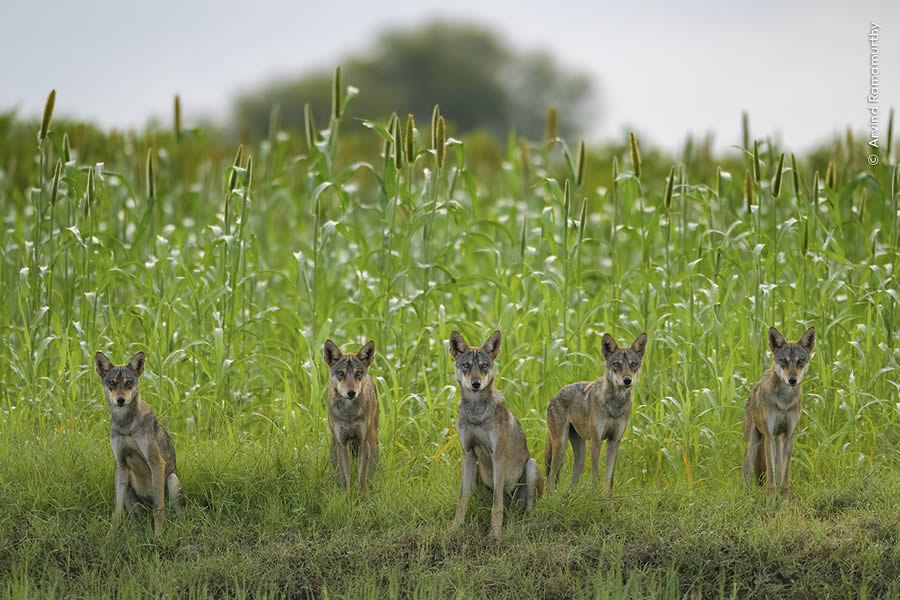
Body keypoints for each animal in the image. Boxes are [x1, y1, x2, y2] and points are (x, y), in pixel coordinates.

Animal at [95, 350, 183, 536]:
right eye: (112, 383)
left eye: (128, 383)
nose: (120, 400)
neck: (126, 425)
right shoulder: (121, 465)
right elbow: (116, 512)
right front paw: (110, 537)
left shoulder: (157, 463)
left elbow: (158, 508)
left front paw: (158, 536)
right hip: (126, 484)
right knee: (137, 518)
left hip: (172, 480)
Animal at [444, 330, 536, 540]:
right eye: (466, 365)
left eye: (484, 366)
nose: (476, 383)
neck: (475, 412)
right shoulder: (468, 454)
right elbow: (462, 500)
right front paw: (454, 529)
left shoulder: (497, 456)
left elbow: (496, 504)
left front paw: (495, 535)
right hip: (475, 468)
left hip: (531, 467)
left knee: (526, 509)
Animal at [744, 326, 816, 504]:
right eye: (784, 361)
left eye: (800, 361)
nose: (792, 380)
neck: (784, 400)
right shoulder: (769, 437)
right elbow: (770, 482)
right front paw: (770, 504)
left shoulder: (789, 436)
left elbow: (784, 480)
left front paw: (784, 504)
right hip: (753, 447)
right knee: (746, 476)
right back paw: (747, 500)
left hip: (778, 443)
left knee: (777, 473)